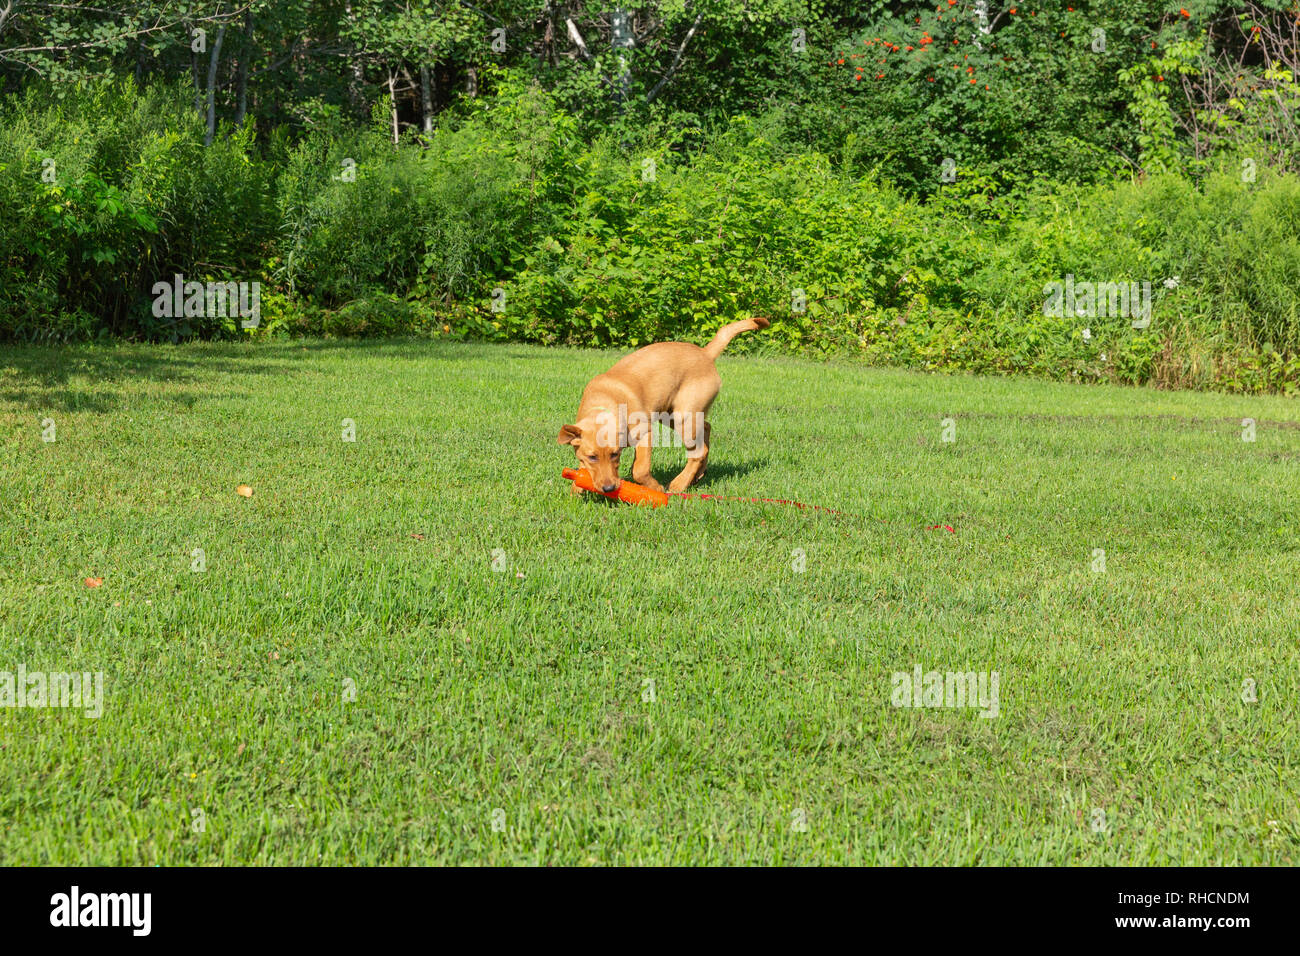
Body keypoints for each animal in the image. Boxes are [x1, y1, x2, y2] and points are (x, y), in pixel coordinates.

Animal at [559, 319, 769, 496]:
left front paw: (656, 488)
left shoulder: (645, 433)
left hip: (684, 417)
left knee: (698, 452)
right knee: (706, 430)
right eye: (592, 457)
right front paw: (577, 488)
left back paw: (678, 484)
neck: (602, 403)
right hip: (674, 415)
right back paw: (698, 475)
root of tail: (706, 353)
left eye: (615, 454)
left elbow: (639, 469)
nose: (609, 489)